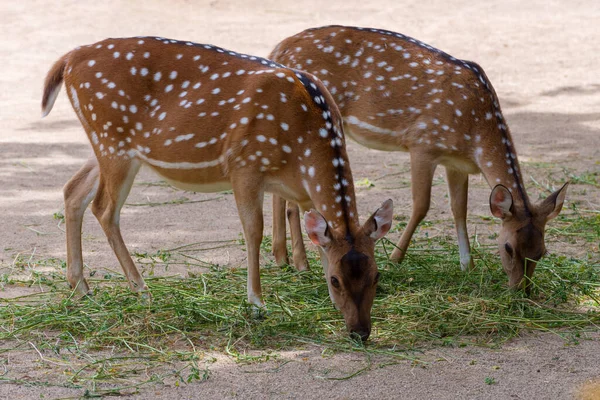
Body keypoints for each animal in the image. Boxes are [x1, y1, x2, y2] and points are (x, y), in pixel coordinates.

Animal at [44, 36, 396, 340]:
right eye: (336, 281)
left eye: (377, 275)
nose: (360, 331)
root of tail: (68, 59)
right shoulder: (244, 165)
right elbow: (254, 230)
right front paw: (256, 302)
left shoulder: (300, 192)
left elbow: (319, 241)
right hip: (113, 140)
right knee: (104, 208)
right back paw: (141, 288)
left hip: (104, 145)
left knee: (73, 191)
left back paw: (81, 287)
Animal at [270, 25, 568, 294]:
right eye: (508, 247)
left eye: (542, 251)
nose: (521, 290)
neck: (476, 132)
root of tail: (280, 48)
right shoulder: (422, 144)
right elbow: (421, 205)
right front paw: (395, 259)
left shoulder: (456, 163)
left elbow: (459, 209)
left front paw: (467, 265)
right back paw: (301, 263)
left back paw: (281, 257)